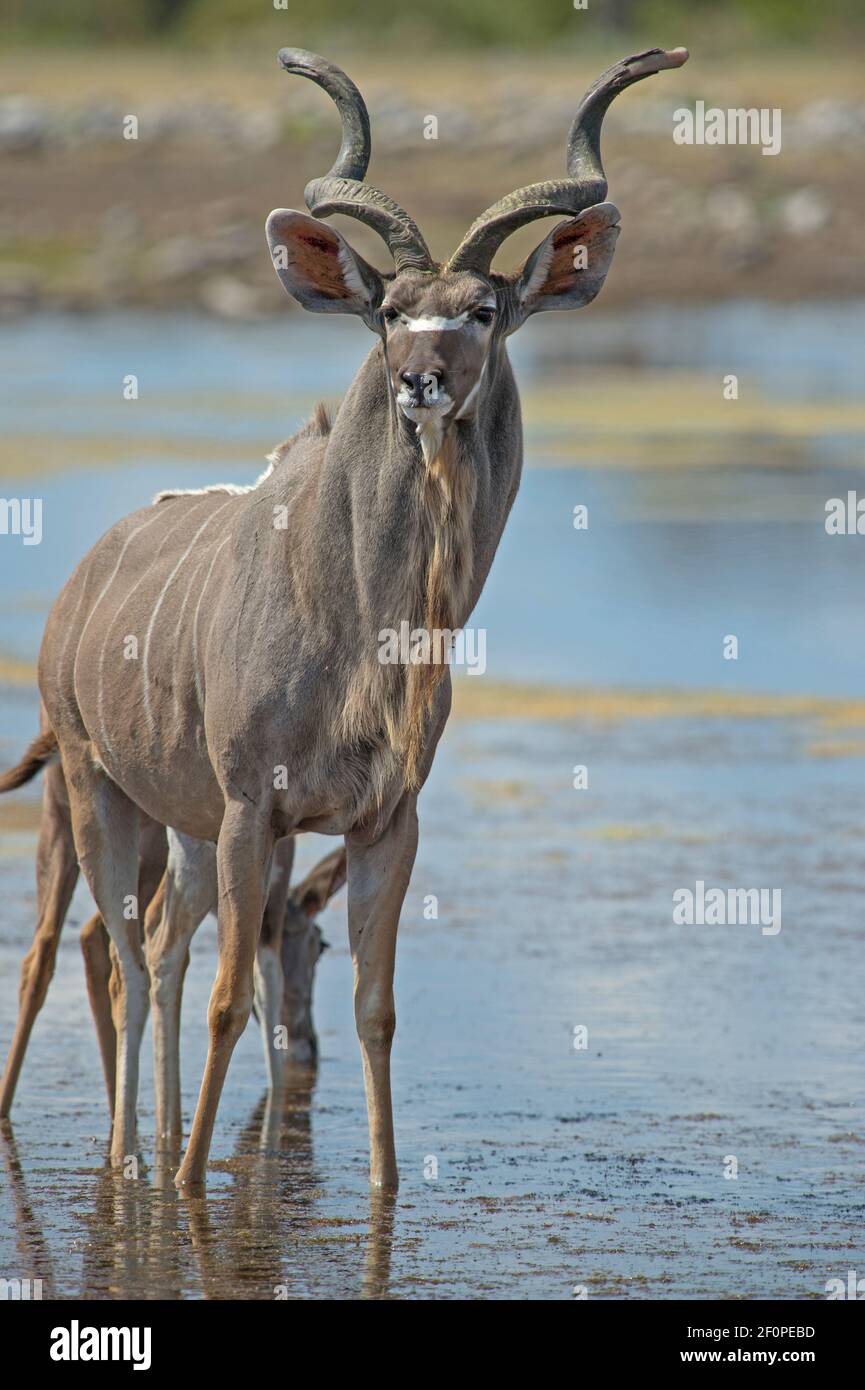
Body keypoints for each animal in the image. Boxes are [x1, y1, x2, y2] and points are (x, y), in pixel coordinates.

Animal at [1, 43, 692, 1184]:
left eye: (483, 311)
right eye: (389, 309)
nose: (419, 380)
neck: (361, 636)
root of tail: (79, 588)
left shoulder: (382, 824)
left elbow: (374, 1011)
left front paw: (379, 1188)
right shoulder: (253, 812)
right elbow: (232, 1001)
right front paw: (192, 1191)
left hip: (179, 826)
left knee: (155, 947)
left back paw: (146, 1148)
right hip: (100, 795)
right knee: (118, 962)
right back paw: (134, 1165)